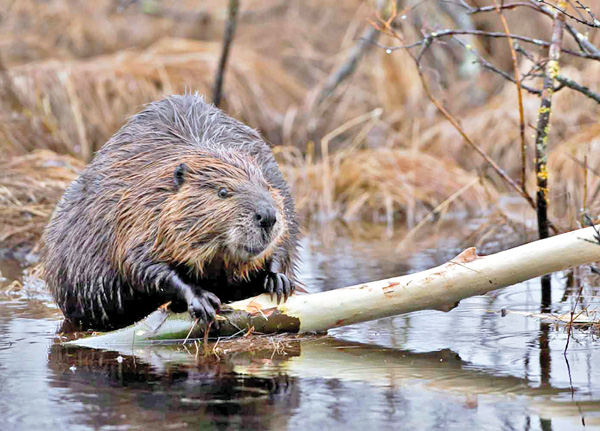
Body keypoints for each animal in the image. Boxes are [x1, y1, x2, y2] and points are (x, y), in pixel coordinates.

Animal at [42, 94, 298, 330]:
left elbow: (284, 242)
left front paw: (277, 279)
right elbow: (140, 264)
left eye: (266, 185)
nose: (267, 216)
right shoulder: (137, 212)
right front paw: (202, 299)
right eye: (223, 191)